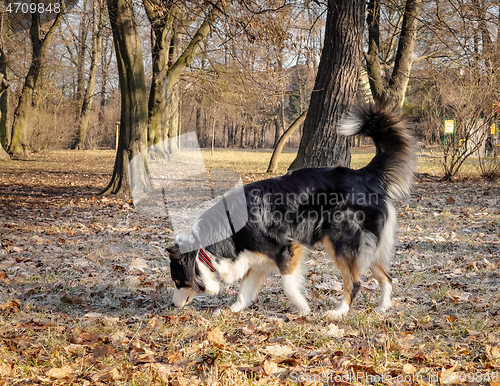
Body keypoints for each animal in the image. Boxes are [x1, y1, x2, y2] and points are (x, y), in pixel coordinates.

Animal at [166, 102, 416, 316]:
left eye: (178, 281)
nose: (172, 305)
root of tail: (365, 174)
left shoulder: (286, 248)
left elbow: (287, 285)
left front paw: (303, 308)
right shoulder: (255, 259)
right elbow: (244, 290)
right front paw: (233, 309)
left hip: (341, 242)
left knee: (354, 282)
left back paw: (339, 312)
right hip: (369, 246)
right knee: (387, 277)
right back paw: (383, 307)